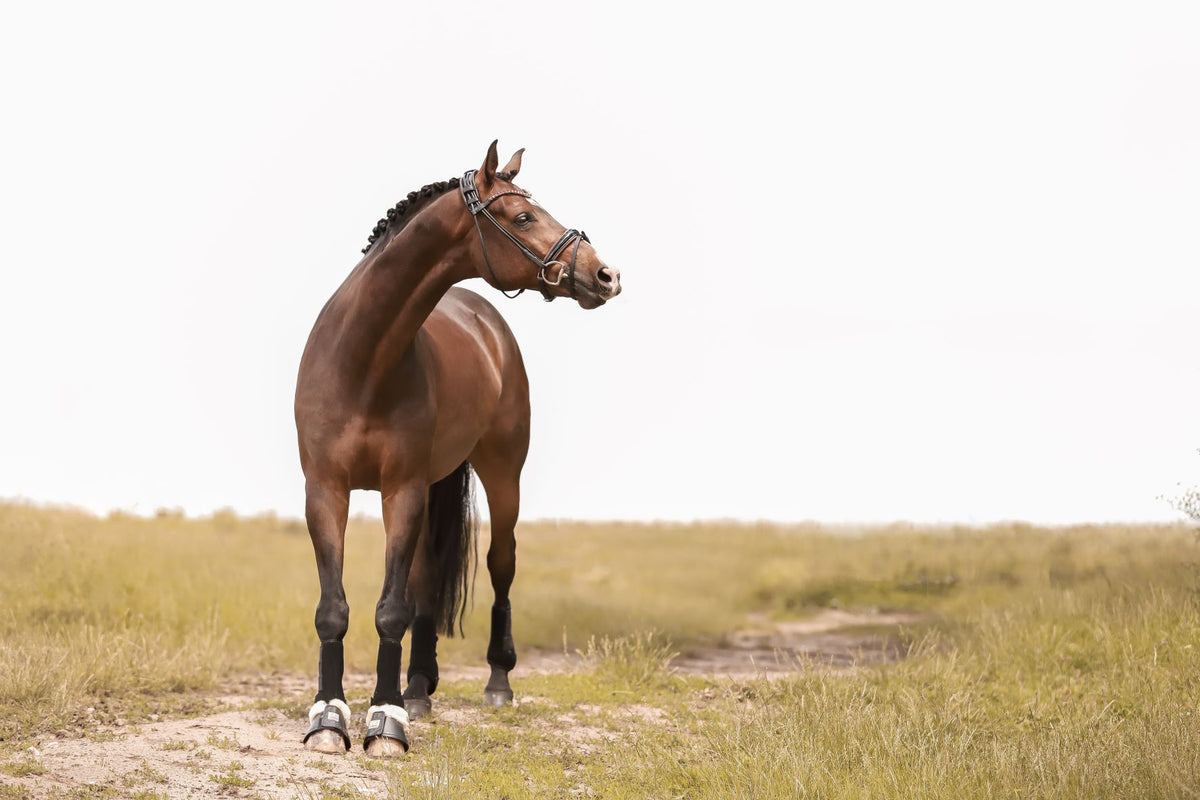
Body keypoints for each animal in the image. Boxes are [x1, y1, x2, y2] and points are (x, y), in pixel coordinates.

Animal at [295, 142, 624, 758]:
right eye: (523, 216)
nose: (605, 274)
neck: (362, 360)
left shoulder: (401, 489)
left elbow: (390, 610)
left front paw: (386, 723)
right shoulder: (325, 489)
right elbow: (335, 609)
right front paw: (329, 719)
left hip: (501, 474)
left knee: (501, 563)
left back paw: (496, 683)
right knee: (426, 575)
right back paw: (418, 687)